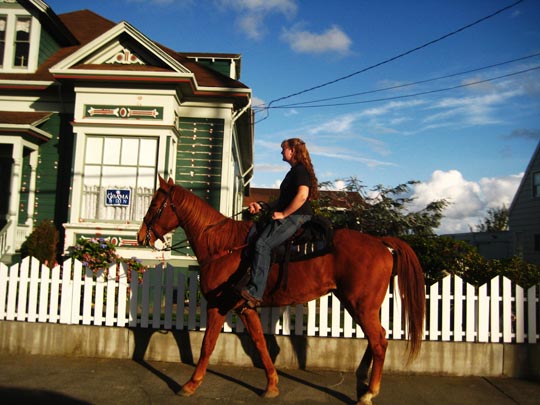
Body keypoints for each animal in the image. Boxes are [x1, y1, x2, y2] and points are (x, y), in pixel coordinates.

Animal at [137, 175, 424, 402]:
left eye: (155, 205)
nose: (141, 237)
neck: (222, 245)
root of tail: (381, 243)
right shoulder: (245, 309)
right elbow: (261, 344)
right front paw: (272, 385)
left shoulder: (218, 306)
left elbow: (208, 345)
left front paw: (190, 384)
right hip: (354, 303)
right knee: (375, 339)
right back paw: (361, 383)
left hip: (361, 305)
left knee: (379, 341)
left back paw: (368, 392)